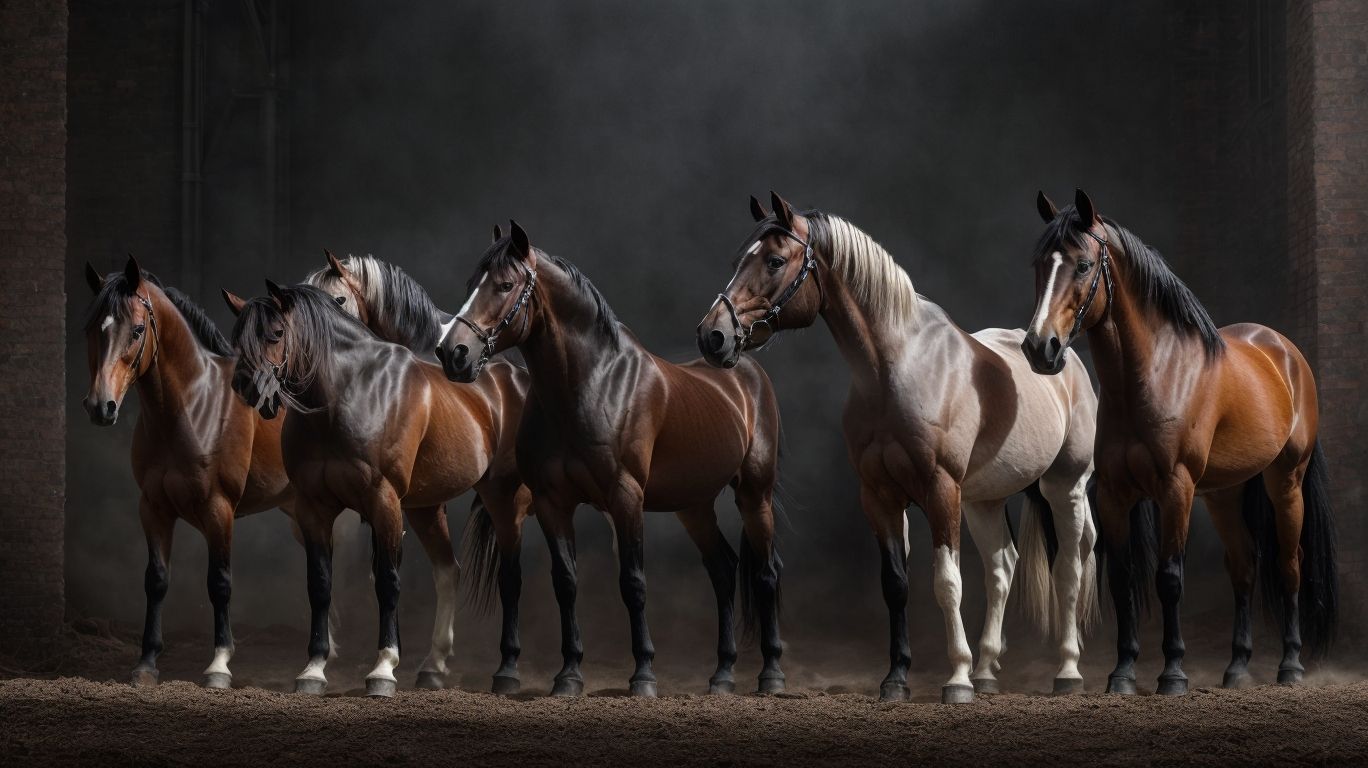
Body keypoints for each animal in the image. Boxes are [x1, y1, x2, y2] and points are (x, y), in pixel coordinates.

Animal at [80, 256, 293, 690]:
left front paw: (219, 665)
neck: (193, 406)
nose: (100, 406)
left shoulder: (219, 510)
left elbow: (220, 582)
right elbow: (157, 580)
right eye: (93, 328)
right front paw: (146, 664)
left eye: (137, 329)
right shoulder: (153, 508)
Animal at [225, 280, 530, 697]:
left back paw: (509, 671)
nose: (246, 386)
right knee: (448, 571)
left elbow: (387, 582)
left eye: (275, 333)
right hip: (425, 508)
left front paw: (383, 669)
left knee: (511, 578)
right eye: (237, 337)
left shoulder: (382, 501)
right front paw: (313, 669)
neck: (347, 394)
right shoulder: (313, 508)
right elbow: (320, 585)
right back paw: (433, 666)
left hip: (504, 500)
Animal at [435, 221, 786, 697]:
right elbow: (565, 581)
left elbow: (633, 583)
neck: (591, 385)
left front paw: (643, 675)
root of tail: (747, 372)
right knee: (724, 570)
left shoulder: (625, 497)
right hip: (694, 506)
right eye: (473, 283)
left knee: (766, 573)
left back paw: (772, 675)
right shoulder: (552, 502)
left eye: (505, 285)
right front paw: (568, 674)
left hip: (754, 494)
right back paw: (723, 675)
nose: (452, 352)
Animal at [695, 193, 1101, 703]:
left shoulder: (940, 490)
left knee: (1070, 564)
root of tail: (1062, 358)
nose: (713, 336)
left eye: (773, 261)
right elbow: (896, 584)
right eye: (738, 260)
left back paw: (1066, 670)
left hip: (1065, 486)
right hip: (984, 499)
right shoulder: (880, 496)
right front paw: (897, 680)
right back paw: (988, 670)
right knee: (1002, 567)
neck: (896, 369)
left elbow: (947, 583)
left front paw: (956, 680)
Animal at [1020, 189, 1337, 694]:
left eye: (1084, 265)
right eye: (1039, 264)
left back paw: (1290, 666)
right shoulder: (1114, 494)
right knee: (1244, 566)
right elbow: (1123, 578)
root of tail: (1287, 354)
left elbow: (1169, 577)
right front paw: (1122, 673)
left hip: (1285, 481)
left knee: (1290, 563)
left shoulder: (1176, 489)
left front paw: (1172, 673)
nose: (1039, 347)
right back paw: (1237, 668)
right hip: (1225, 494)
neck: (1153, 374)